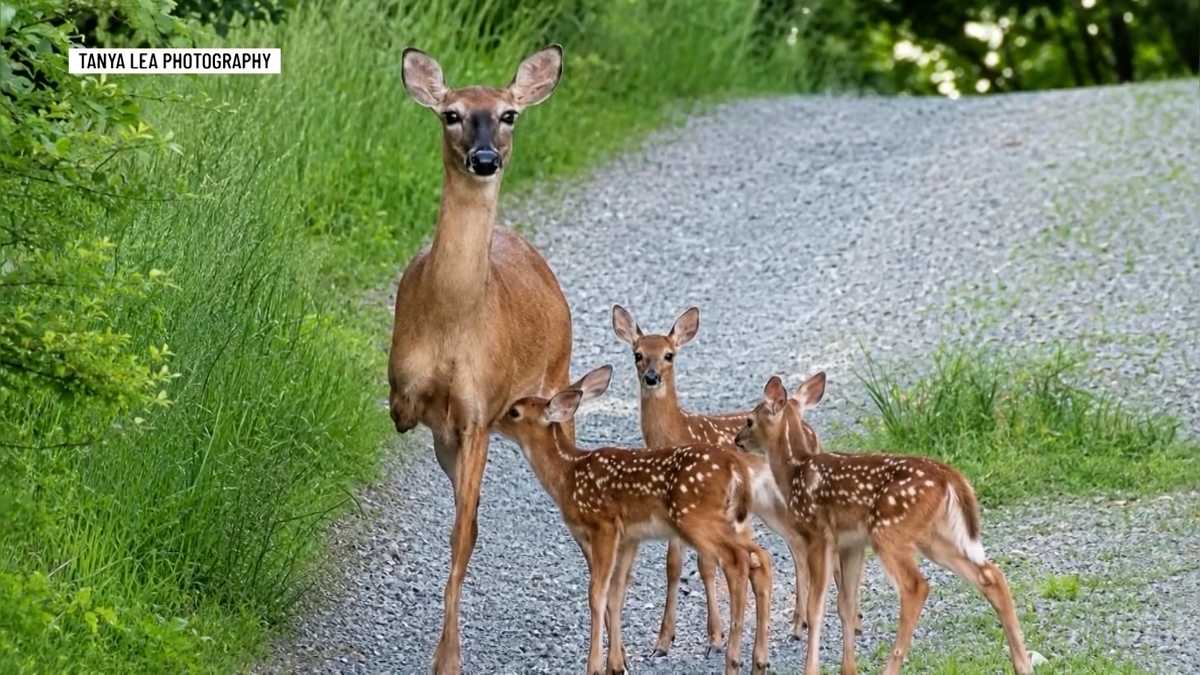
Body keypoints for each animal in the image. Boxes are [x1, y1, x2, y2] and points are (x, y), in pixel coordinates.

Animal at [389, 45, 572, 674]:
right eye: (452, 114)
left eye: (509, 113)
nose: (485, 158)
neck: (453, 322)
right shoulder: (406, 396)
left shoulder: (477, 414)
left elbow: (462, 533)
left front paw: (447, 658)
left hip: (561, 375)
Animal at [497, 365, 773, 675]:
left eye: (514, 412)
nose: (493, 420)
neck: (567, 475)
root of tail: (735, 468)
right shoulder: (630, 537)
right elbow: (616, 595)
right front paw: (616, 664)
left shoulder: (603, 525)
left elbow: (597, 594)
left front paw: (594, 665)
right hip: (733, 521)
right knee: (760, 559)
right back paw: (758, 660)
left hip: (696, 519)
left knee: (738, 563)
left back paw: (733, 659)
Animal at [612, 304, 861, 649]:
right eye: (637, 354)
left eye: (668, 355)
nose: (651, 377)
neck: (676, 432)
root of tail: (807, 427)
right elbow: (674, 565)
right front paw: (663, 640)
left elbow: (705, 564)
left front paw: (715, 635)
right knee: (797, 546)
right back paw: (801, 623)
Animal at [735, 372, 1034, 675]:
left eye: (749, 419)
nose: (737, 440)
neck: (795, 470)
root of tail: (949, 476)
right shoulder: (851, 544)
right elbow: (846, 604)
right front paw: (848, 669)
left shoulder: (818, 534)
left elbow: (816, 607)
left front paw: (813, 669)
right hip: (934, 536)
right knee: (991, 575)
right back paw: (1022, 664)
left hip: (889, 531)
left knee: (916, 586)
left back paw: (890, 667)